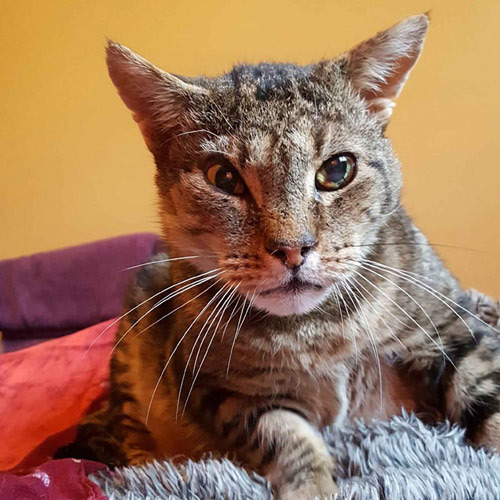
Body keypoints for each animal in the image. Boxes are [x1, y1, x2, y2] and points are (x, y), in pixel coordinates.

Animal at [58, 13, 500, 498]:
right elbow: (288, 438)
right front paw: (312, 486)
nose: (292, 247)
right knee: (125, 434)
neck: (315, 331)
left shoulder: (456, 331)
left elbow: (489, 393)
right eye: (223, 177)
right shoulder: (223, 392)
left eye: (337, 169)